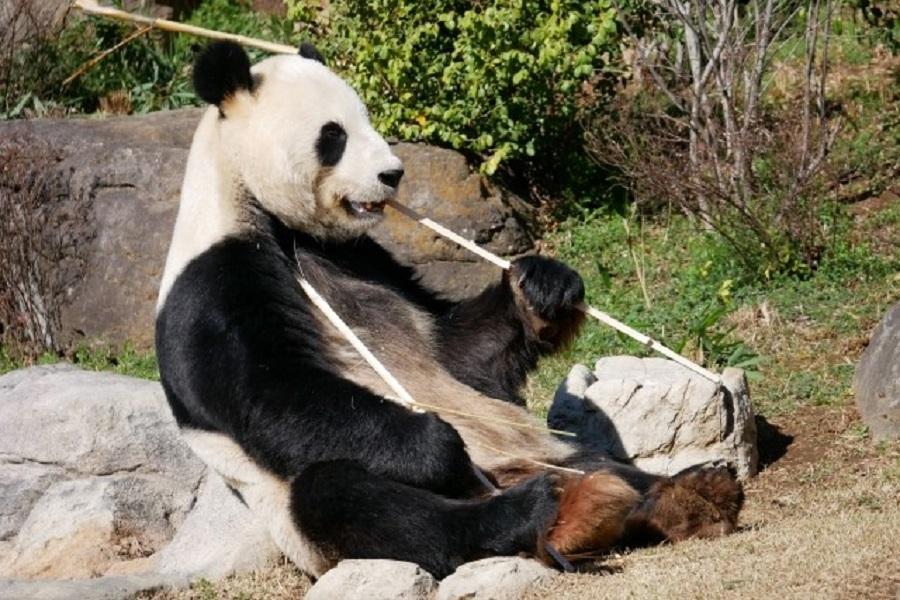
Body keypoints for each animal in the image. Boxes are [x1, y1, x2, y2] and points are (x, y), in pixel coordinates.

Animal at [156, 41, 744, 576]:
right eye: (334, 135)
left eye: (365, 119)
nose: (393, 174)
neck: (274, 220)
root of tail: (510, 474)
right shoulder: (214, 284)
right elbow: (274, 395)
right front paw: (438, 443)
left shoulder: (363, 257)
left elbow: (454, 351)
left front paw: (542, 286)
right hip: (305, 522)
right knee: (350, 498)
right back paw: (546, 515)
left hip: (539, 446)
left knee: (595, 460)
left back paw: (687, 494)